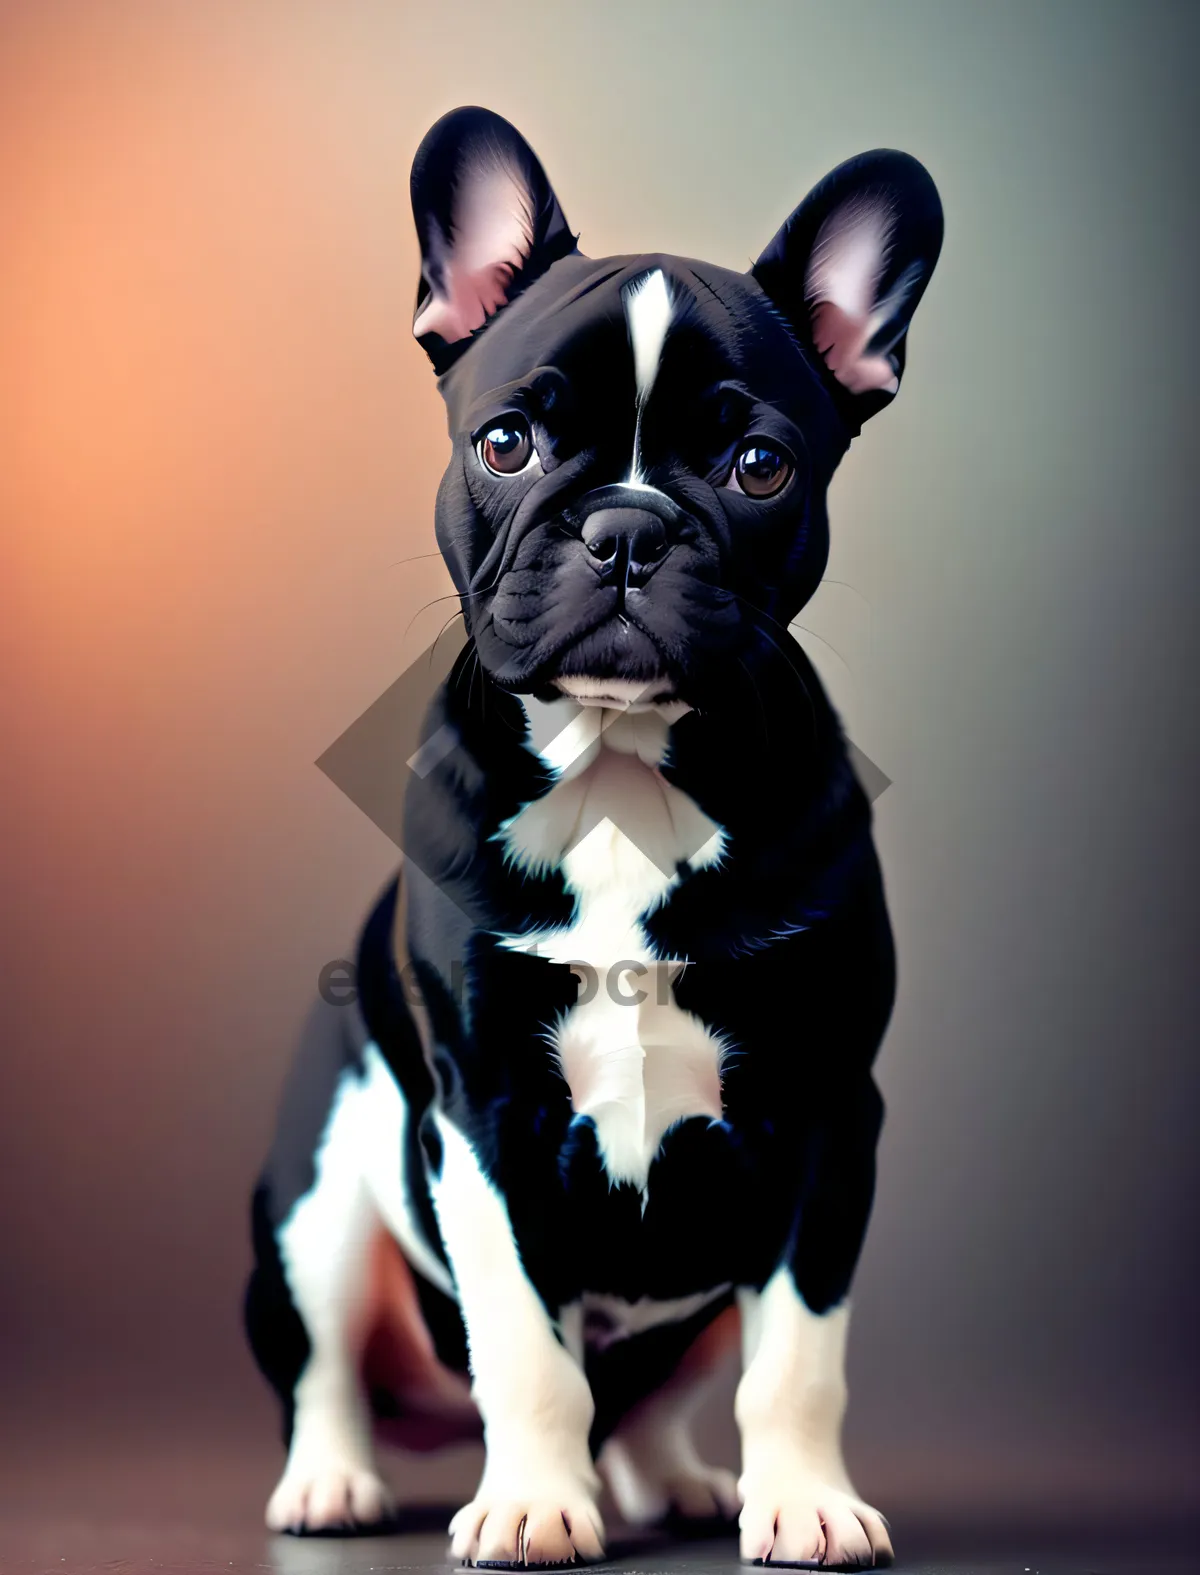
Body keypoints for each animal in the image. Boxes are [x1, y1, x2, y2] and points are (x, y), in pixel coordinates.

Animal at [240, 104, 932, 1568]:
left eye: (759, 466)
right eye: (508, 444)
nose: (626, 526)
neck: (621, 768)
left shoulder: (826, 1117)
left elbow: (798, 1357)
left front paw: (806, 1501)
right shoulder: (482, 1118)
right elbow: (526, 1345)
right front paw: (530, 1505)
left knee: (667, 1393)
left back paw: (680, 1482)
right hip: (319, 1207)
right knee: (326, 1365)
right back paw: (331, 1484)